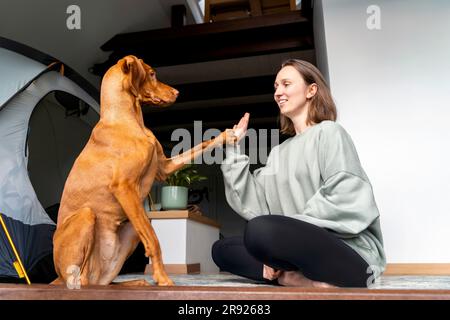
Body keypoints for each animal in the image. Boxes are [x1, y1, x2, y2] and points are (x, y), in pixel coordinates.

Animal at [53, 54, 232, 284]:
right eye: (152, 73)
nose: (177, 92)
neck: (128, 119)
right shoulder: (124, 187)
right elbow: (154, 240)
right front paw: (163, 279)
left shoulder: (164, 168)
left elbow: (200, 145)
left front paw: (228, 134)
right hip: (87, 216)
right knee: (81, 280)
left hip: (129, 229)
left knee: (104, 282)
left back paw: (136, 282)